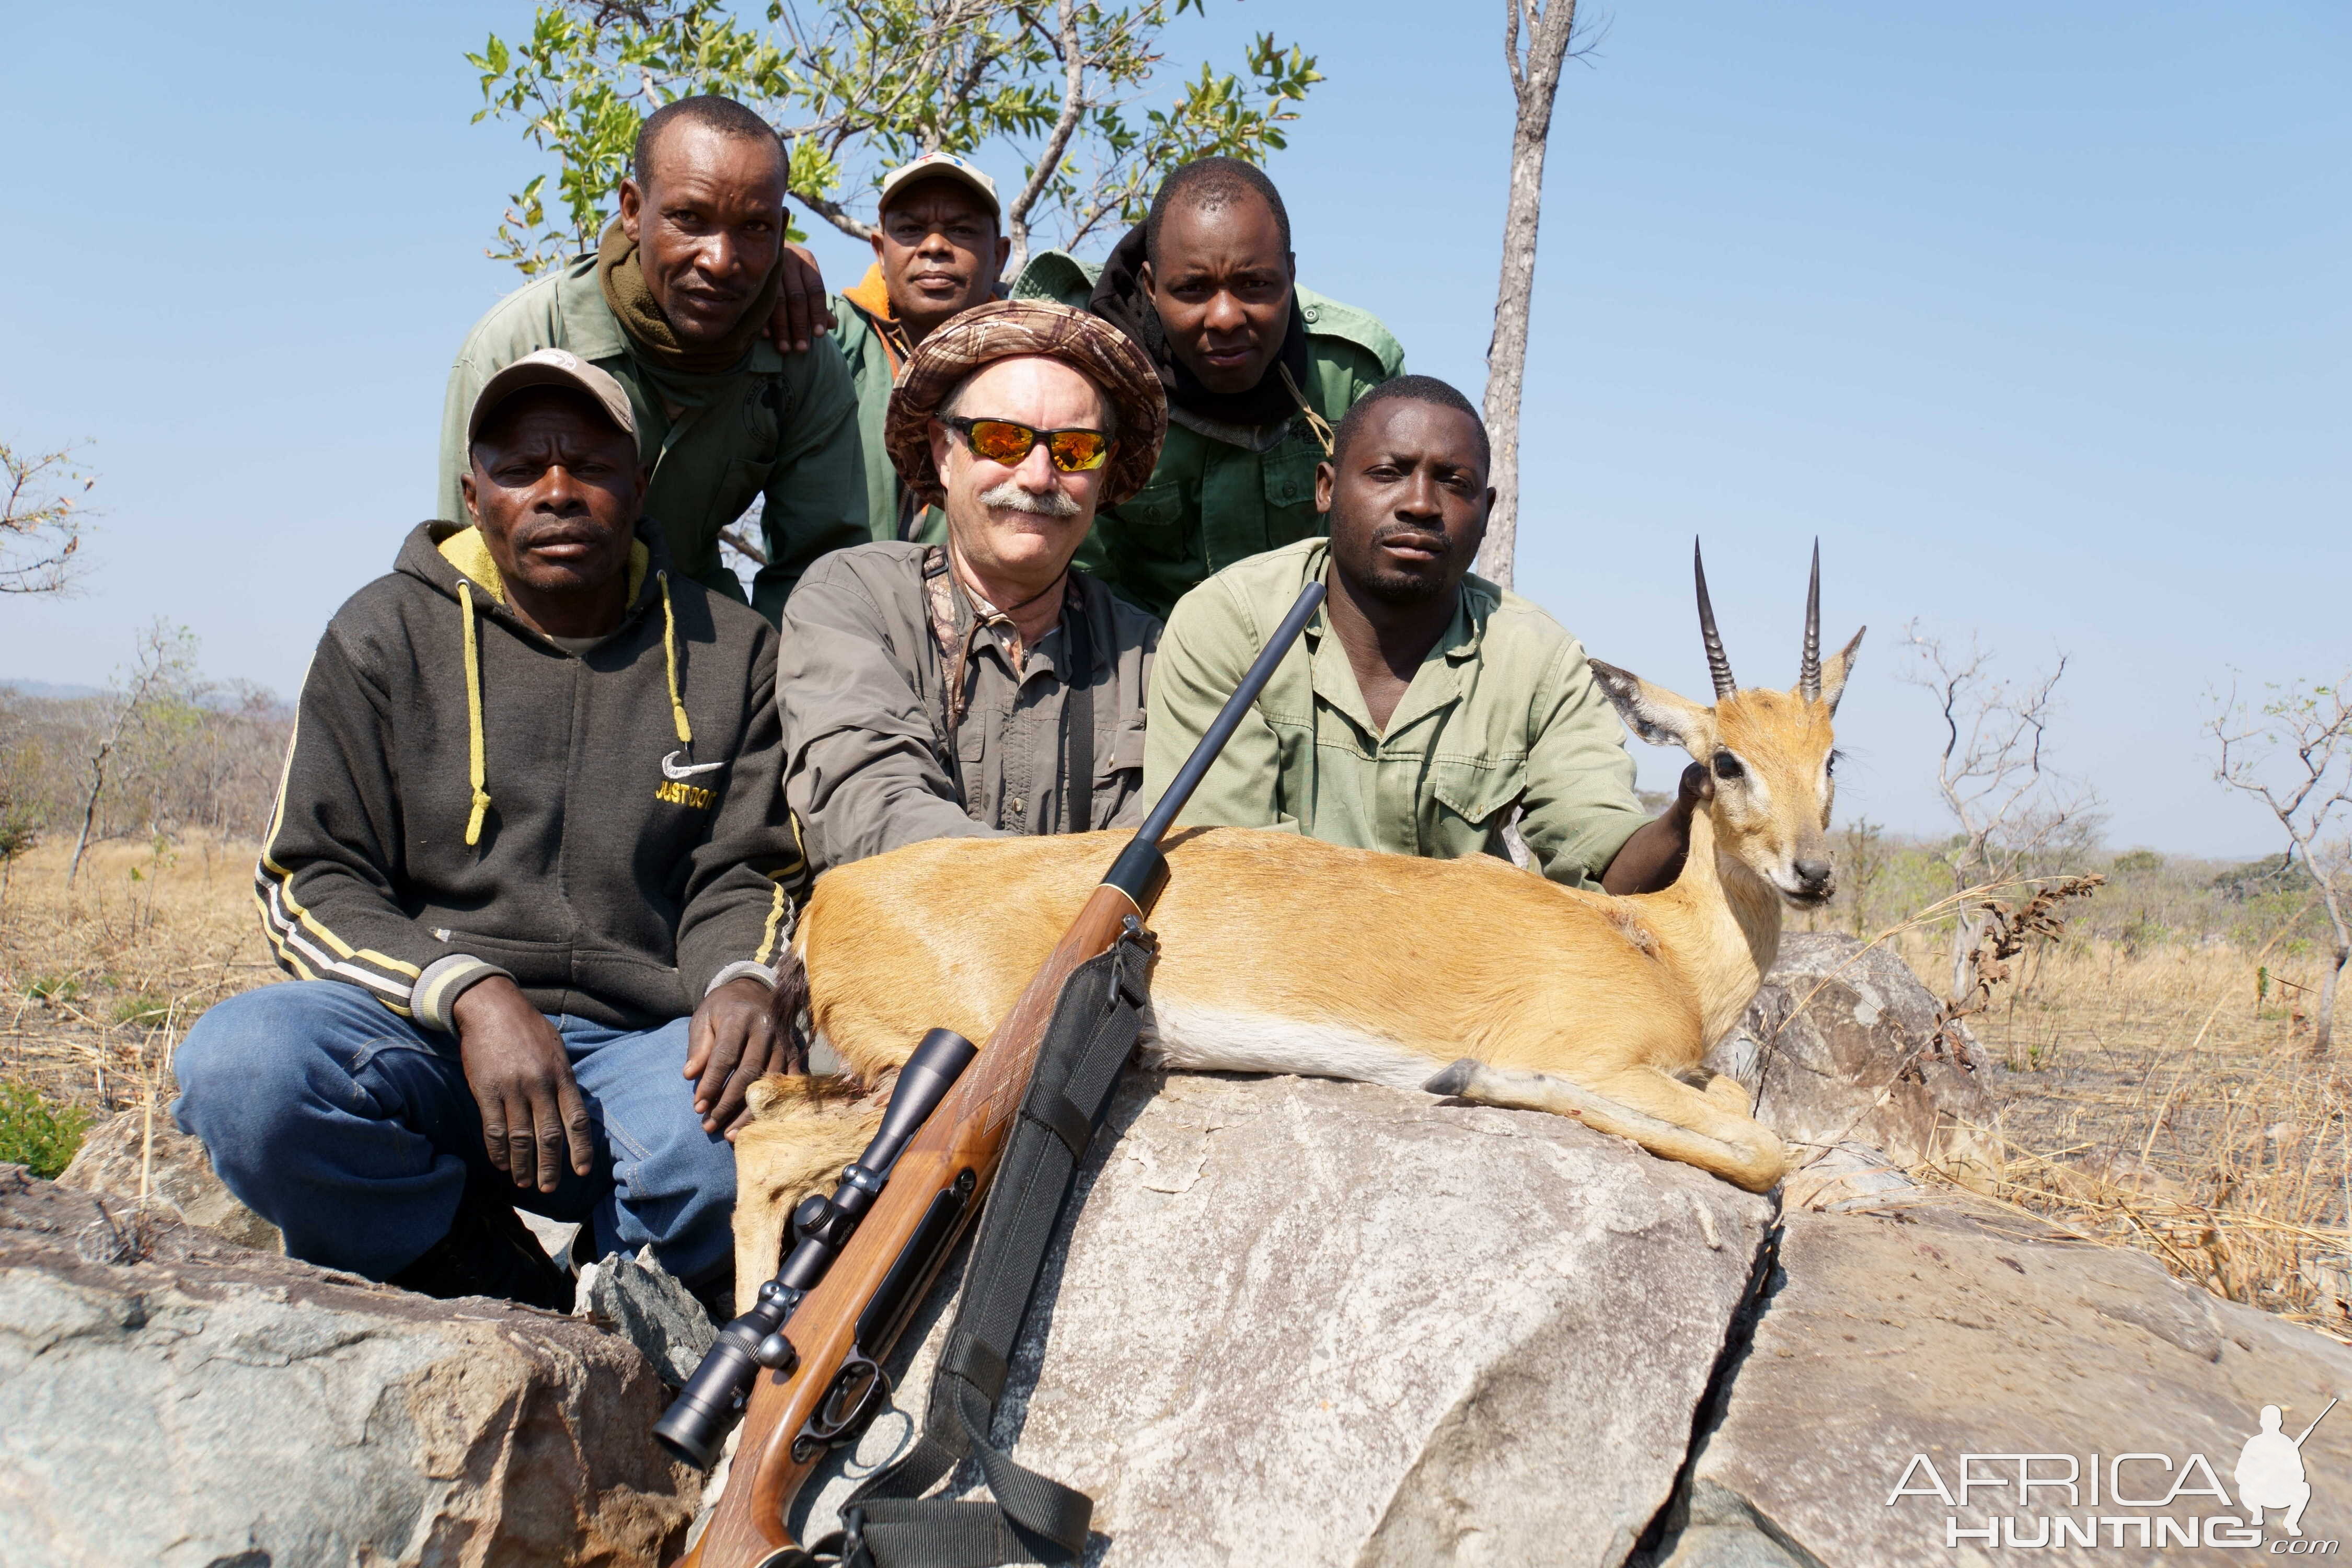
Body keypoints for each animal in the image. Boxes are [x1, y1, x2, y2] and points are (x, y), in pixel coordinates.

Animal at [734, 545, 1853, 1297]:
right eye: (1724, 760)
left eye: (1831, 753)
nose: (1814, 873)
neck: (1660, 945)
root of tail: (831, 900)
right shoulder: (1599, 1060)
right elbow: (1764, 1148)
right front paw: (1468, 1078)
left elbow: (1750, 1121)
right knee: (762, 1155)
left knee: (762, 1114)